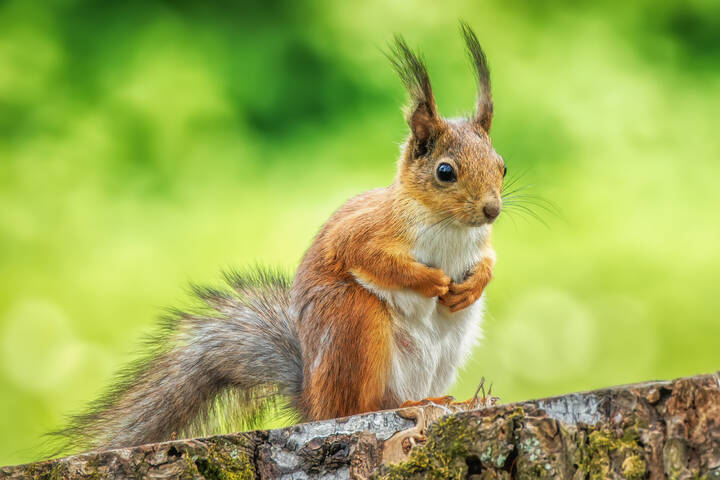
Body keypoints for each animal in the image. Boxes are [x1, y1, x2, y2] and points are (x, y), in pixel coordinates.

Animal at [54, 23, 506, 452]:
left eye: (501, 166)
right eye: (445, 172)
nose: (492, 210)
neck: (450, 227)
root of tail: (314, 404)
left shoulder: (479, 243)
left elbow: (488, 261)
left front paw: (471, 285)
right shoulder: (365, 232)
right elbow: (369, 258)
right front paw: (433, 280)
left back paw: (444, 400)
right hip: (354, 324)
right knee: (357, 406)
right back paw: (406, 404)